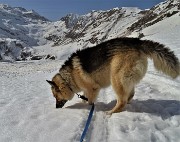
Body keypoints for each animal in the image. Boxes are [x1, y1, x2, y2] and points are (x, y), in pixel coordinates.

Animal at [46, 37, 179, 114]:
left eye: (55, 96)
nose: (56, 107)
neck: (68, 78)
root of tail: (137, 42)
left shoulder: (93, 89)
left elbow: (89, 101)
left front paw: (89, 108)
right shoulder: (87, 90)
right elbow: (85, 98)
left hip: (116, 79)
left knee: (122, 101)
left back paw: (110, 112)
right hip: (126, 80)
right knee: (129, 95)